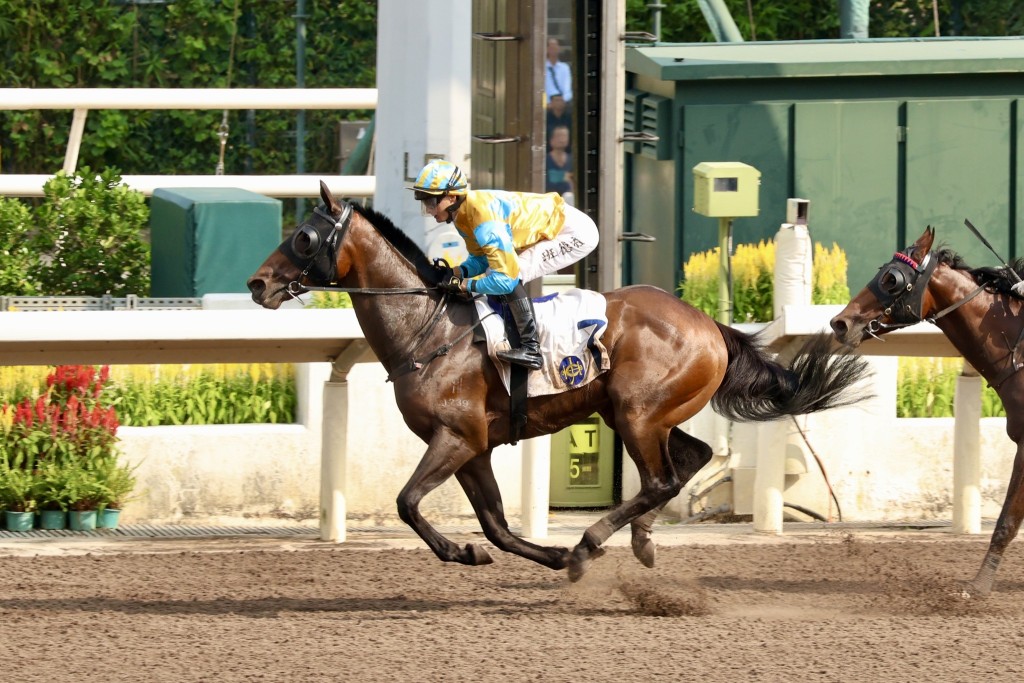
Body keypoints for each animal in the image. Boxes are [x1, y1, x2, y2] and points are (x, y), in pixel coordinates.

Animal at [247, 183, 872, 581]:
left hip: (636, 412)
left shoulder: (456, 437)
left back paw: (592, 543)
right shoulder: (472, 446)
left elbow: (407, 503)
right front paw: (505, 555)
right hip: (644, 413)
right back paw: (638, 541)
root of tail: (709, 325)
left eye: (304, 237)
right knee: (688, 461)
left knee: (662, 480)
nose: (258, 284)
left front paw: (479, 551)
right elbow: (495, 526)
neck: (428, 330)